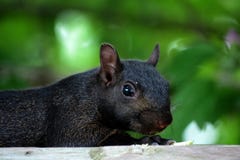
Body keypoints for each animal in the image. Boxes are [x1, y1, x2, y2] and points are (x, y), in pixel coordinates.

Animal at [0, 43, 172, 146]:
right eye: (127, 90)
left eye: (167, 85)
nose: (164, 121)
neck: (92, 96)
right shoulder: (68, 116)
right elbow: (81, 139)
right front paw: (147, 140)